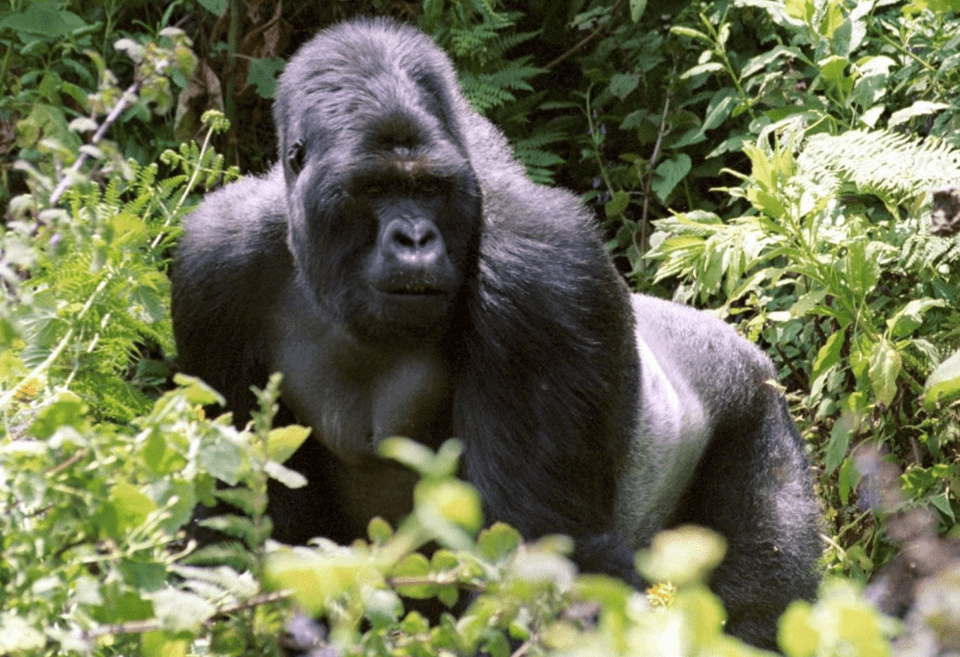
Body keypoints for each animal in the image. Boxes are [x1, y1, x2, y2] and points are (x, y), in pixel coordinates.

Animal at [171, 18, 816, 648]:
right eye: (374, 188)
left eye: (429, 189)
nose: (414, 239)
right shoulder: (213, 264)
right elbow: (235, 532)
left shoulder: (539, 268)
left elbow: (537, 555)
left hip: (756, 404)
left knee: (763, 599)